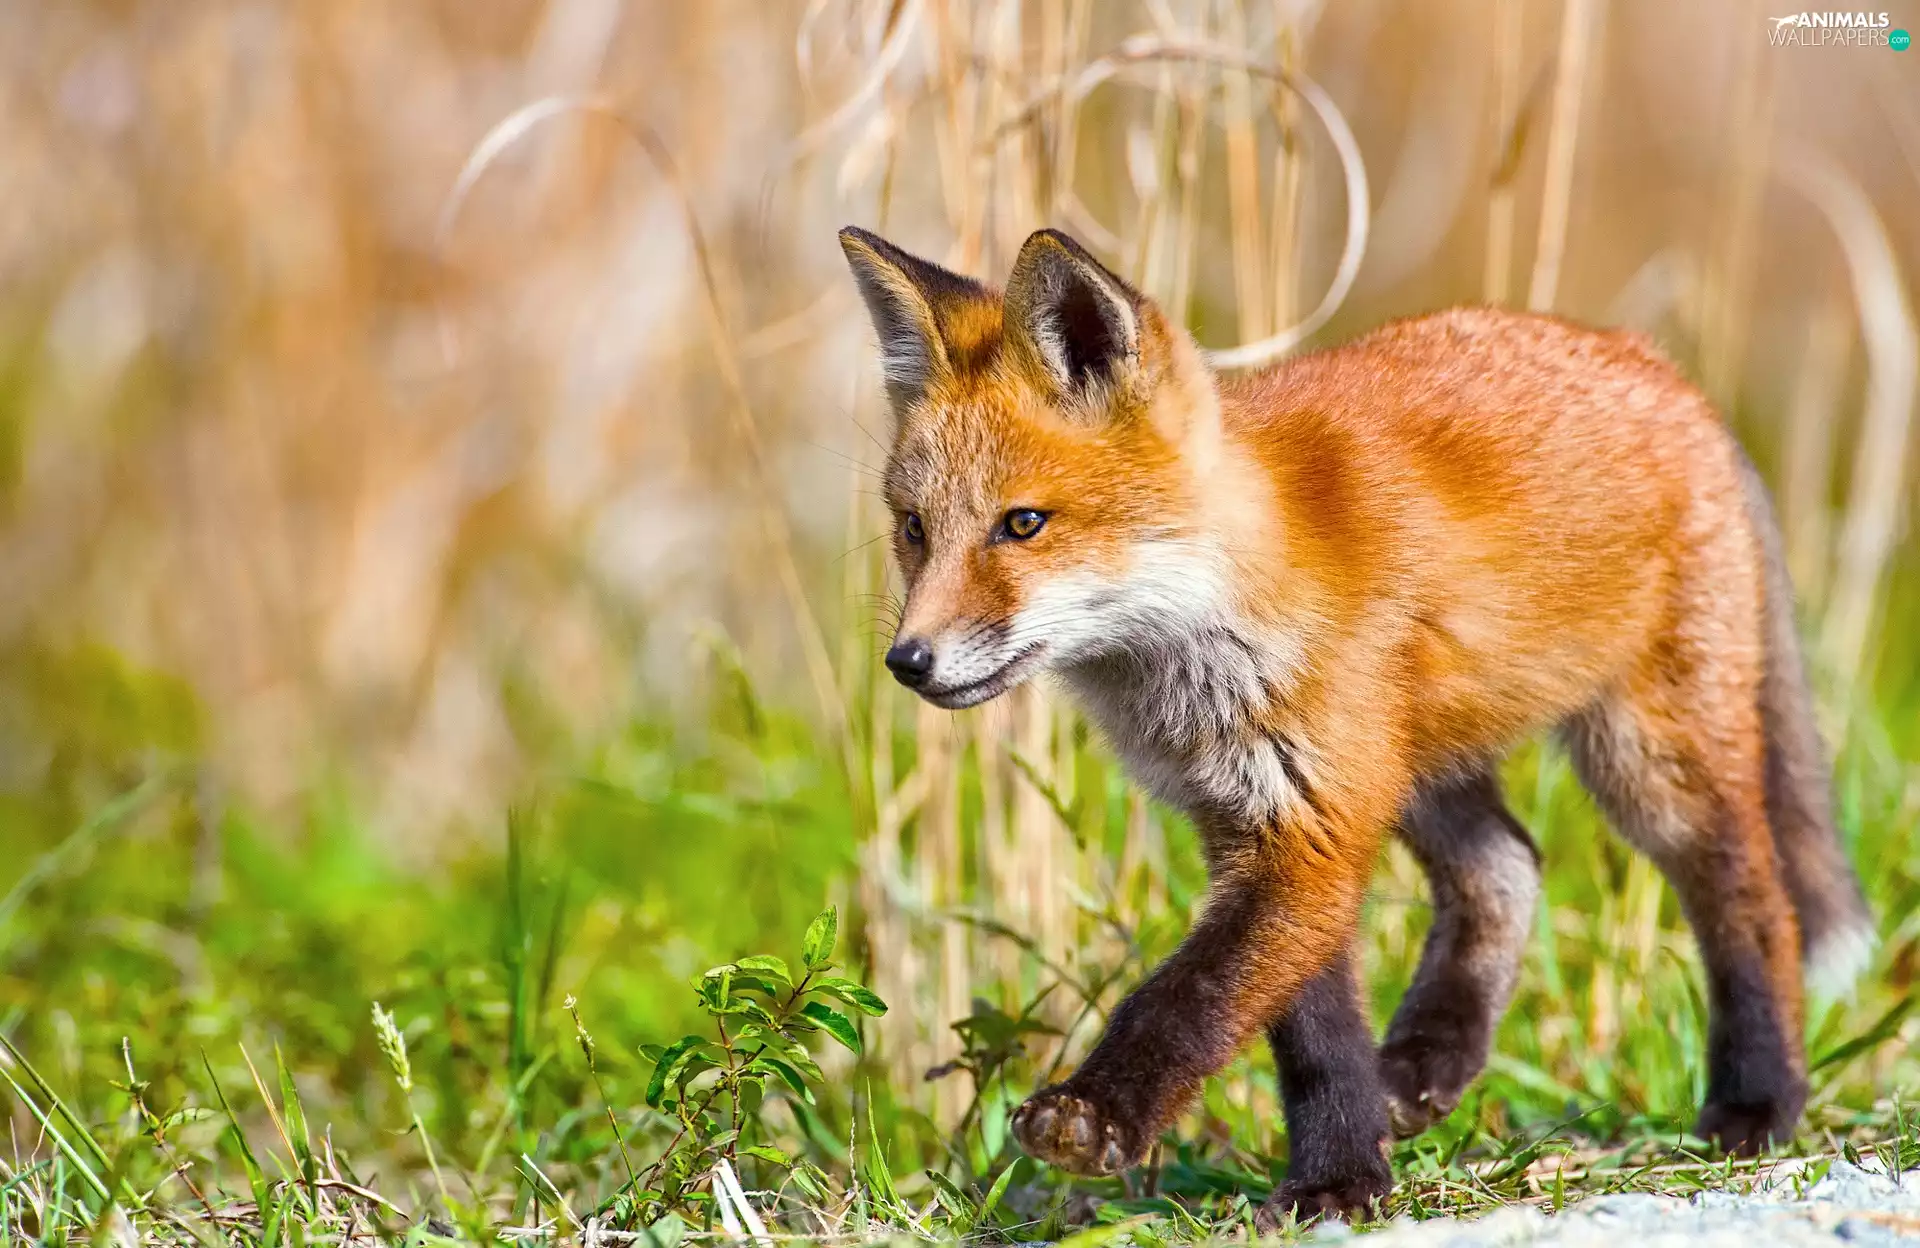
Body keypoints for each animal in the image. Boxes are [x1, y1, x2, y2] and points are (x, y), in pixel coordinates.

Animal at [837, 224, 1874, 1224]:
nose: (909, 662)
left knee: (1750, 897)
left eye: (1022, 524)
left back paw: (1759, 1101)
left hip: (1647, 759)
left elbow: (1190, 1000)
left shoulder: (1311, 823)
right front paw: (1342, 1175)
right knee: (1509, 866)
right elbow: (1313, 1031)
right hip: (1420, 763)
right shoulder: (1263, 820)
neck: (1219, 623)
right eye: (914, 529)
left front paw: (1101, 1117)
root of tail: (1651, 362)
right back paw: (1423, 1066)